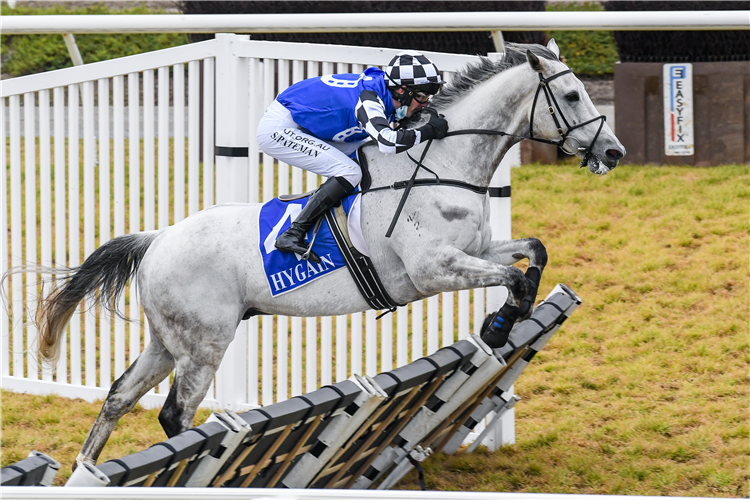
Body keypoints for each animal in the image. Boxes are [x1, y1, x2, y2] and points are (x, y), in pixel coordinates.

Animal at [23, 41, 624, 466]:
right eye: (574, 97)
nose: (614, 152)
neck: (443, 164)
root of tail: (158, 239)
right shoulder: (432, 270)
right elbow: (515, 280)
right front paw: (500, 327)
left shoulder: (476, 248)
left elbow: (533, 252)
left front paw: (505, 319)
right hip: (203, 343)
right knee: (176, 414)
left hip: (167, 340)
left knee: (119, 395)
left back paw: (84, 467)